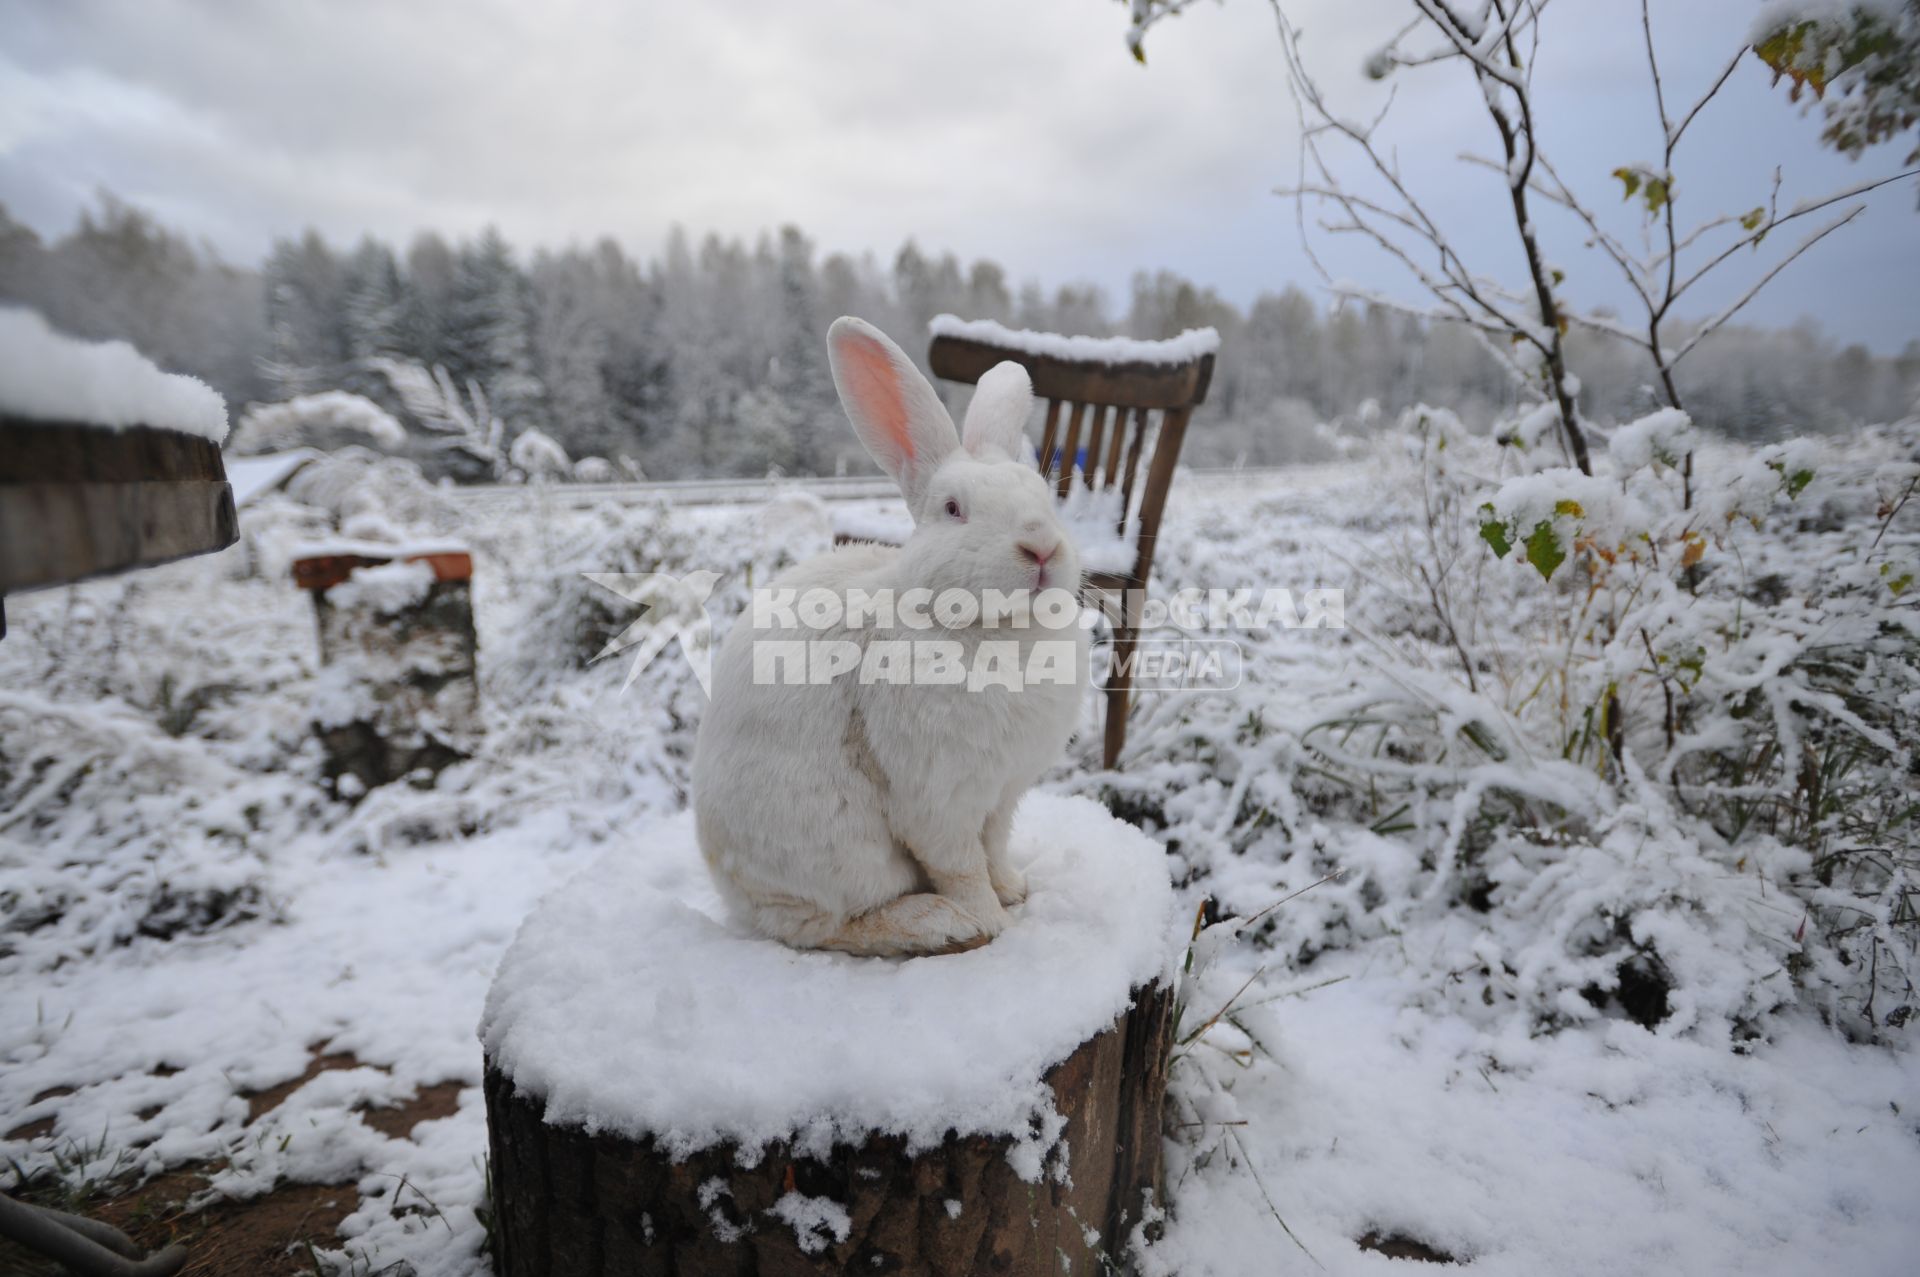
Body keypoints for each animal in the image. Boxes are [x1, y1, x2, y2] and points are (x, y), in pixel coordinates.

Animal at [691, 318, 1090, 956]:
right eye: (953, 509)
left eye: (1043, 496)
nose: (1041, 547)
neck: (993, 629)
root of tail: (734, 895)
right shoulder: (939, 800)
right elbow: (962, 868)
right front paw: (994, 925)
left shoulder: (1001, 797)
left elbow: (994, 848)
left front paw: (1015, 890)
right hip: (842, 853)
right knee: (828, 926)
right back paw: (936, 923)